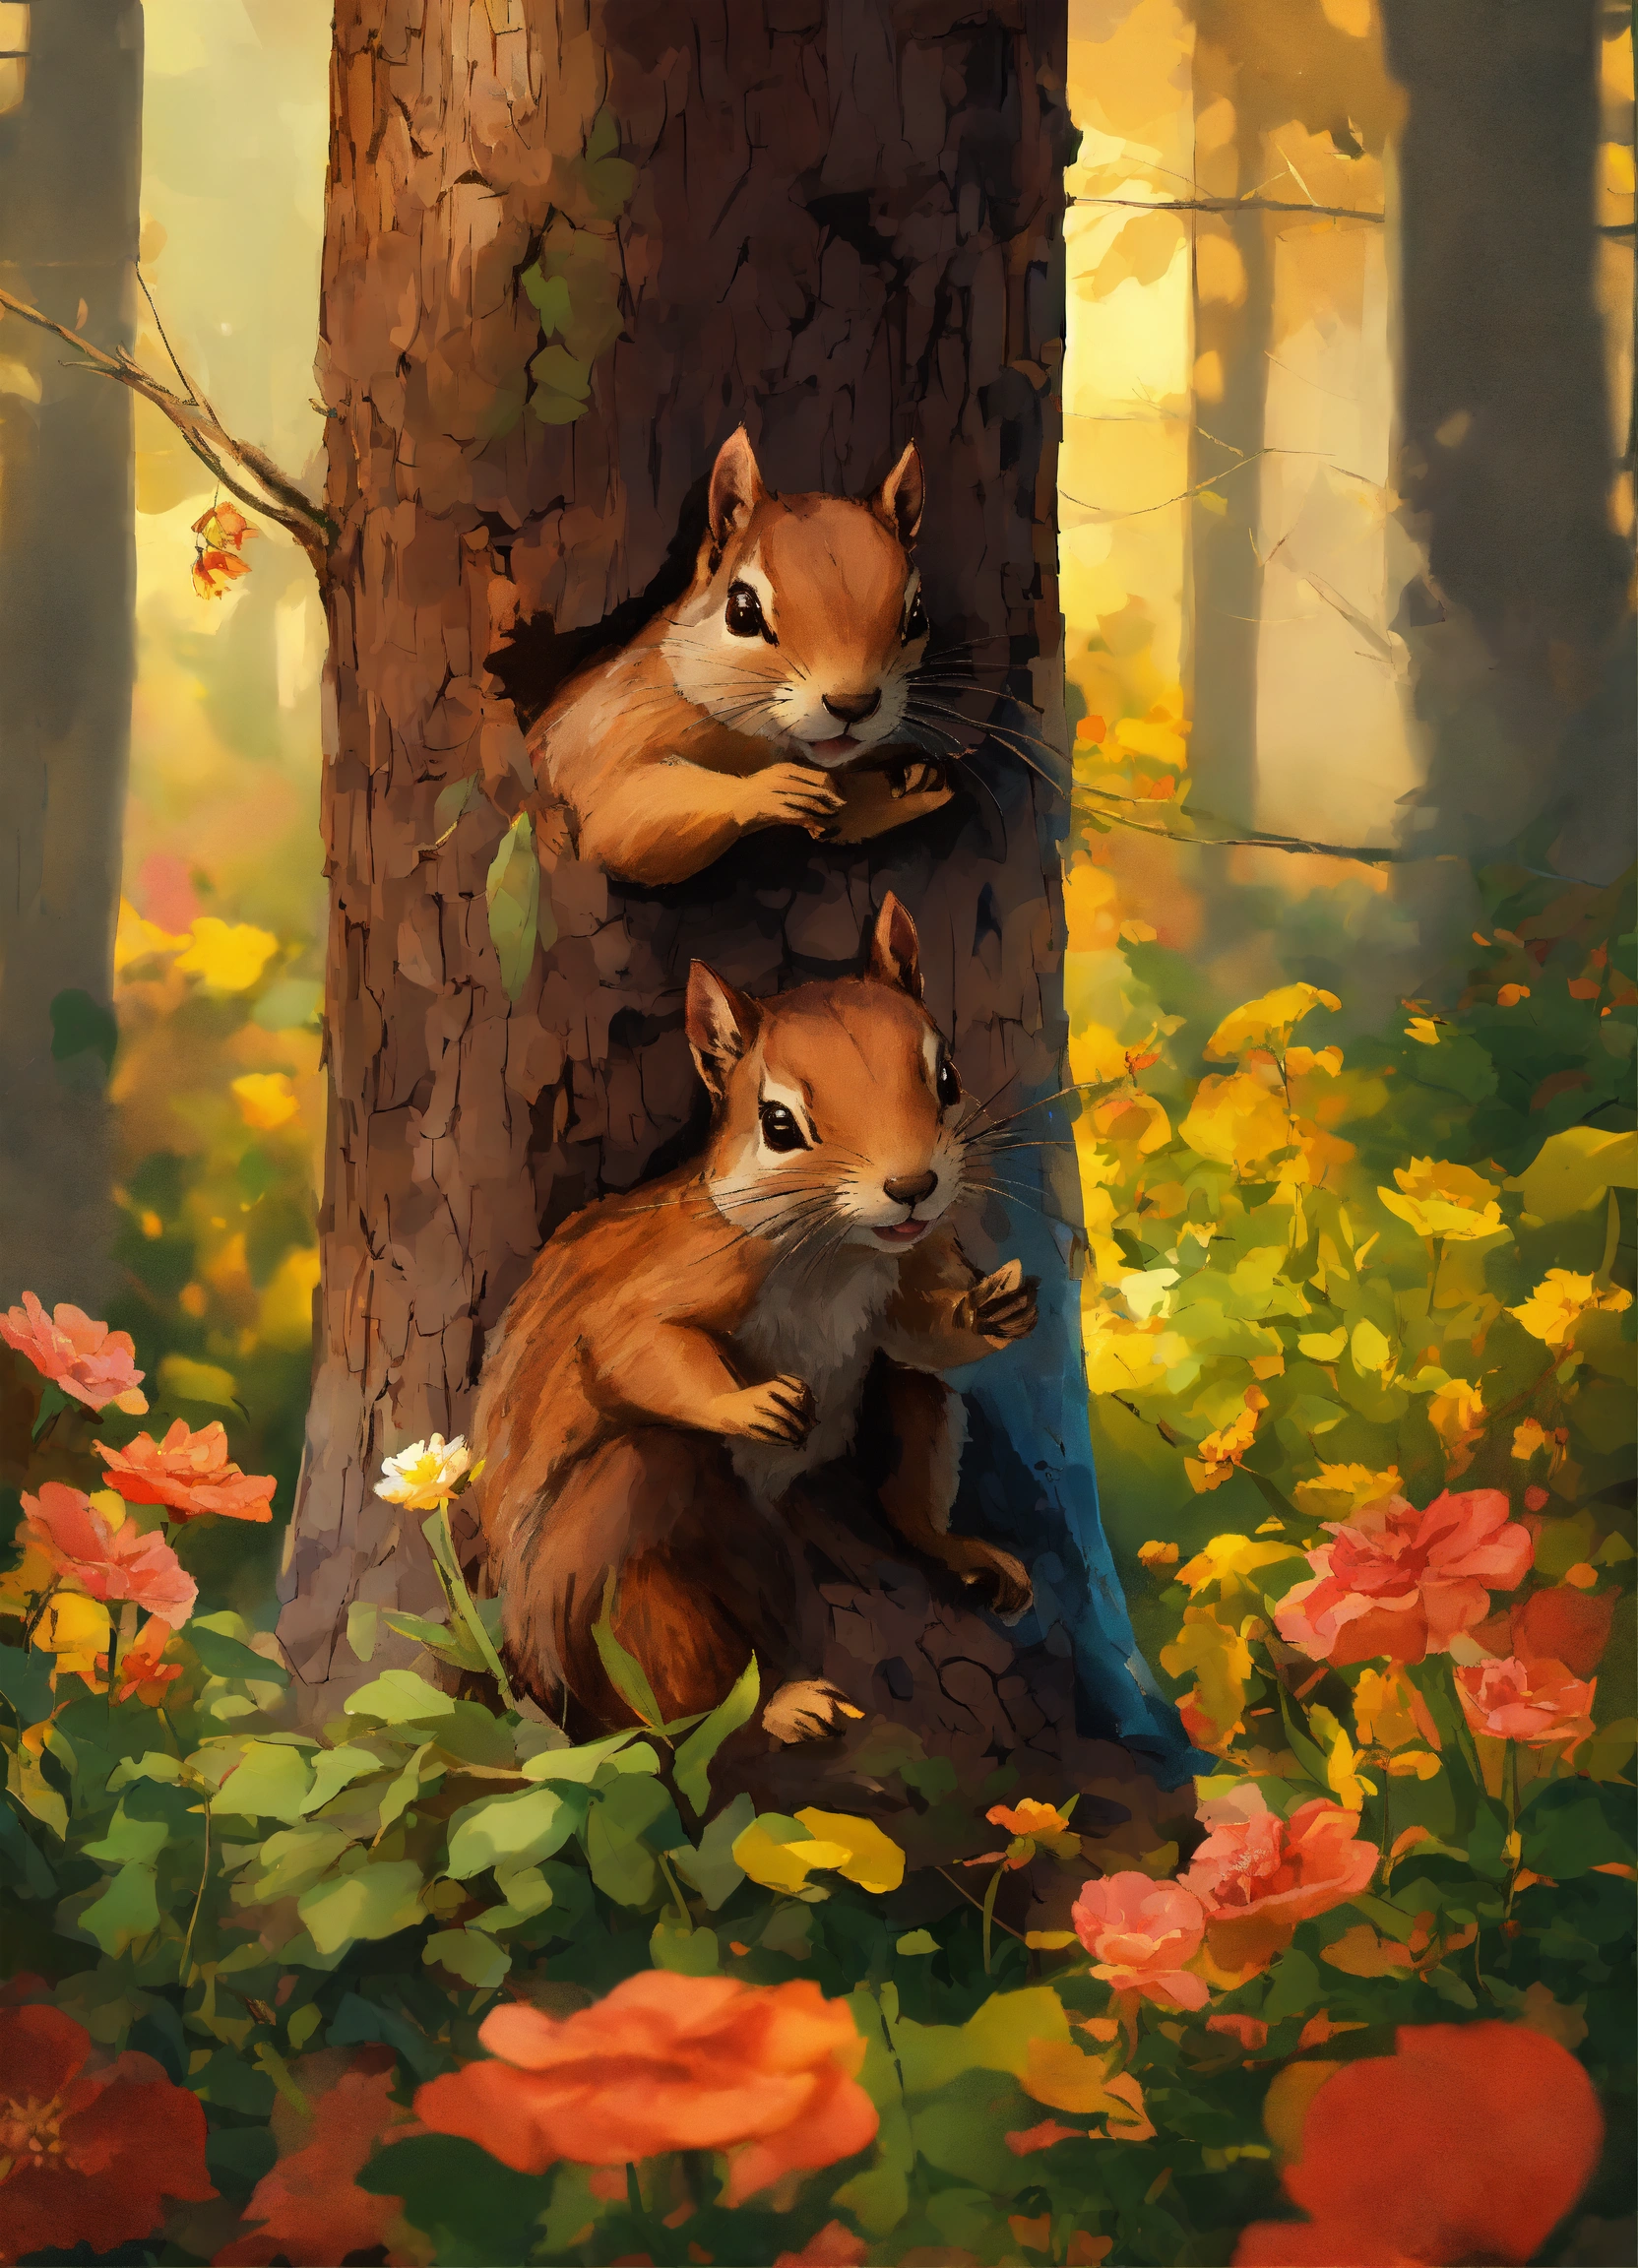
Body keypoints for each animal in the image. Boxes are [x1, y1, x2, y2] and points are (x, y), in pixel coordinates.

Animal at [470, 894, 1039, 1743]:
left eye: (947, 1078)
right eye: (778, 1124)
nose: (914, 1187)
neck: (837, 1254)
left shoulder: (905, 1272)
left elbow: (920, 1331)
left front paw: (995, 1307)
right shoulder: (678, 1273)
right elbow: (631, 1343)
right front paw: (750, 1402)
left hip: (898, 1422)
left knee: (906, 1470)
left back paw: (957, 1548)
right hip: (619, 1564)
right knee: (674, 1695)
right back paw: (779, 1704)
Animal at [526, 430, 956, 889]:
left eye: (917, 615)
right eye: (742, 612)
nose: (853, 705)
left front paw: (919, 774)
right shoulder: (604, 743)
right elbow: (617, 826)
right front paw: (770, 789)